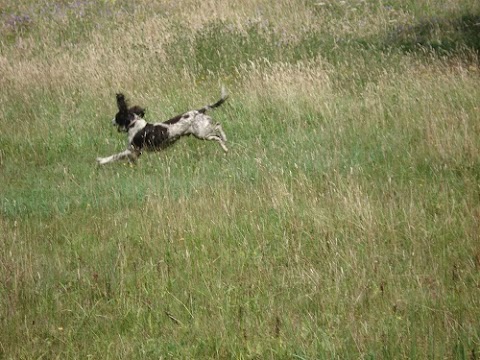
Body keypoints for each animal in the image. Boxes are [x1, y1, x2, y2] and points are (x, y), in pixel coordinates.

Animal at [97, 88, 229, 165]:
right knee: (218, 126)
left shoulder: (133, 150)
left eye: (117, 116)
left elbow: (116, 156)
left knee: (217, 130)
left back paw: (224, 145)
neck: (134, 123)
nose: (111, 121)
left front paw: (101, 160)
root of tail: (198, 111)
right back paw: (225, 141)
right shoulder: (135, 153)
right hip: (200, 133)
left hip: (201, 133)